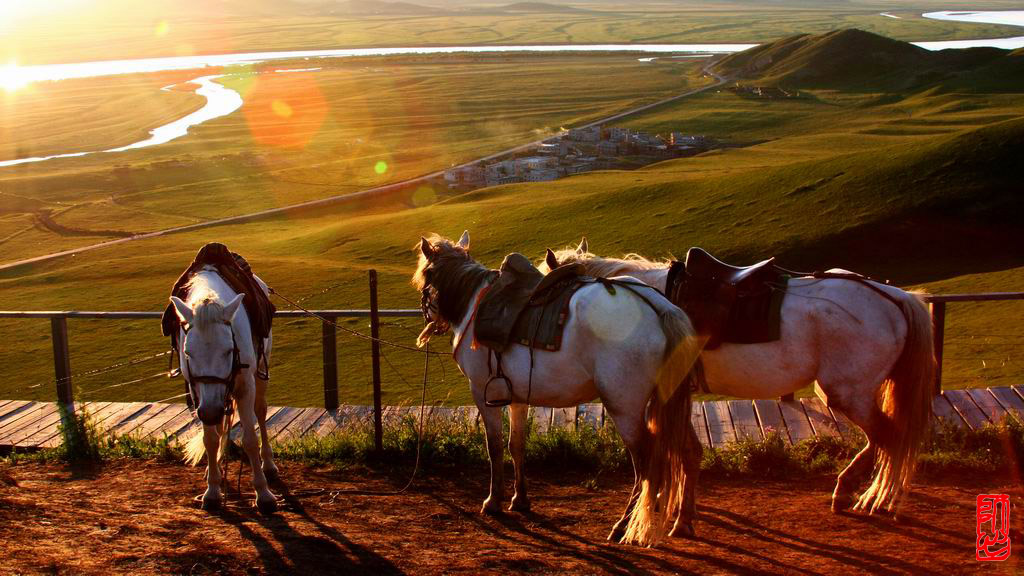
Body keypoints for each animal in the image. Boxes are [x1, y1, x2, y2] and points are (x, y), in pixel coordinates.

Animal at [168, 264, 278, 510]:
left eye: (229, 350)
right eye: (187, 352)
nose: (210, 412)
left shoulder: (245, 387)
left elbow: (250, 439)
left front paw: (263, 493)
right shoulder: (199, 393)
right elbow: (210, 438)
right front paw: (212, 490)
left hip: (260, 373)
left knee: (261, 412)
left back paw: (268, 464)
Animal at [411, 230, 708, 545]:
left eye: (426, 276)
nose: (429, 319)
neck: (474, 305)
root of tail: (659, 306)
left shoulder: (482, 393)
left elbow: (494, 447)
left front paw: (493, 501)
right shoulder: (517, 397)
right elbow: (516, 444)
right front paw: (520, 499)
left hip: (624, 408)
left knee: (645, 464)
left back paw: (623, 525)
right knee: (684, 452)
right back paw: (676, 522)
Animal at [544, 237, 937, 516]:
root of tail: (895, 296)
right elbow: (686, 450)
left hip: (845, 392)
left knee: (889, 437)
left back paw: (868, 495)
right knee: (886, 439)